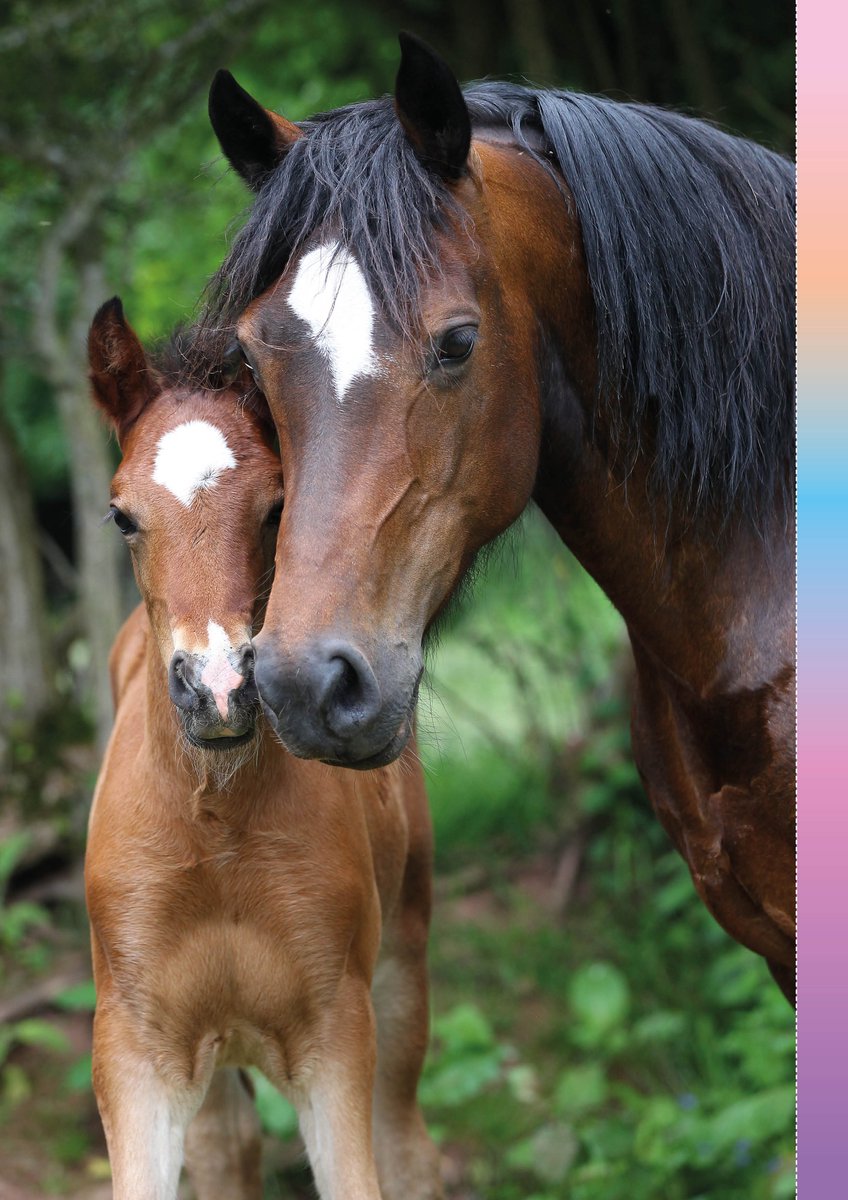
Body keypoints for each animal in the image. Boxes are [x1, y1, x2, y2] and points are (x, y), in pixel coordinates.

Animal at [84, 298, 443, 1200]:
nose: (218, 688)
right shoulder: (135, 1055)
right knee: (230, 1151)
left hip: (404, 970)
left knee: (409, 1146)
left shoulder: (337, 1037)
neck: (216, 831)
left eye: (278, 505)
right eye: (122, 515)